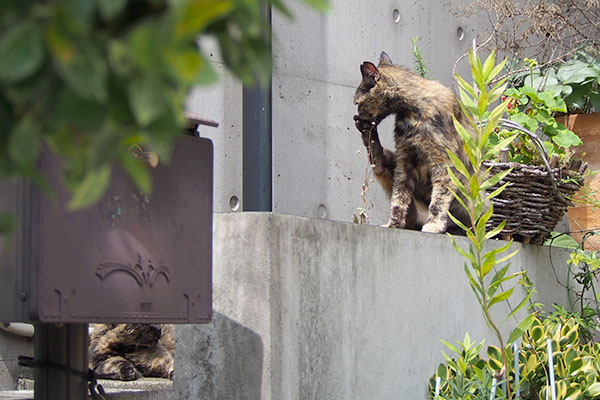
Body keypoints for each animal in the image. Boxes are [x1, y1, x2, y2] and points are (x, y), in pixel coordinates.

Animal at [352, 52, 474, 234]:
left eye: (358, 102)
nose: (357, 114)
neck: (412, 112)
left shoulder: (443, 163)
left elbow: (439, 198)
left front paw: (434, 225)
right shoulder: (404, 160)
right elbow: (398, 198)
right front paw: (393, 225)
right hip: (391, 158)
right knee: (379, 163)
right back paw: (368, 133)